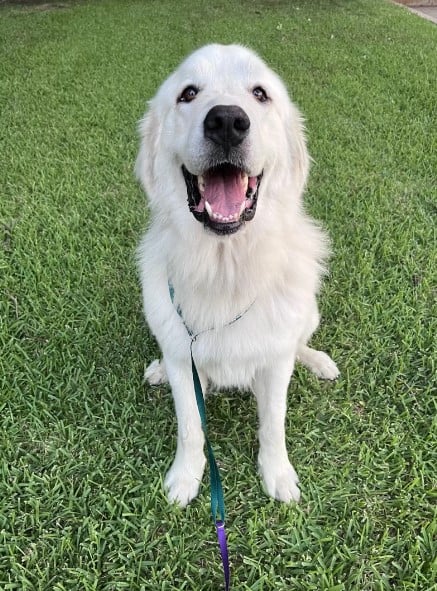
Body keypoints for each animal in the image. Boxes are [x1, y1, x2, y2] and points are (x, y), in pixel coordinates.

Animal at [135, 45, 338, 508]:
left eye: (260, 93)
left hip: (309, 312)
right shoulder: (184, 358)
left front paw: (277, 475)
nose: (226, 121)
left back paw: (319, 361)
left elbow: (274, 424)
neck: (225, 267)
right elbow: (191, 428)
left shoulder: (276, 363)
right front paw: (185, 478)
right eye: (188, 93)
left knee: (301, 342)